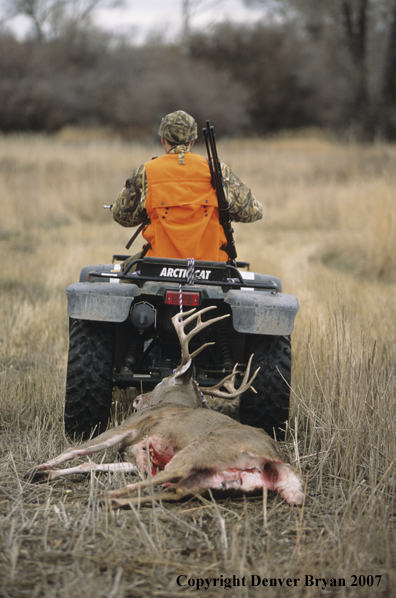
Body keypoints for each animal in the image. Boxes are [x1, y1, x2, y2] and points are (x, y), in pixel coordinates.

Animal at [25, 308, 304, 508]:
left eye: (160, 380)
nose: (138, 399)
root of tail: (277, 458)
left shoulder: (129, 426)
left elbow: (77, 449)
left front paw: (36, 468)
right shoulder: (135, 459)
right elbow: (90, 465)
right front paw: (45, 474)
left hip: (203, 448)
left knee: (169, 475)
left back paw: (105, 496)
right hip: (219, 479)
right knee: (174, 490)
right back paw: (110, 500)